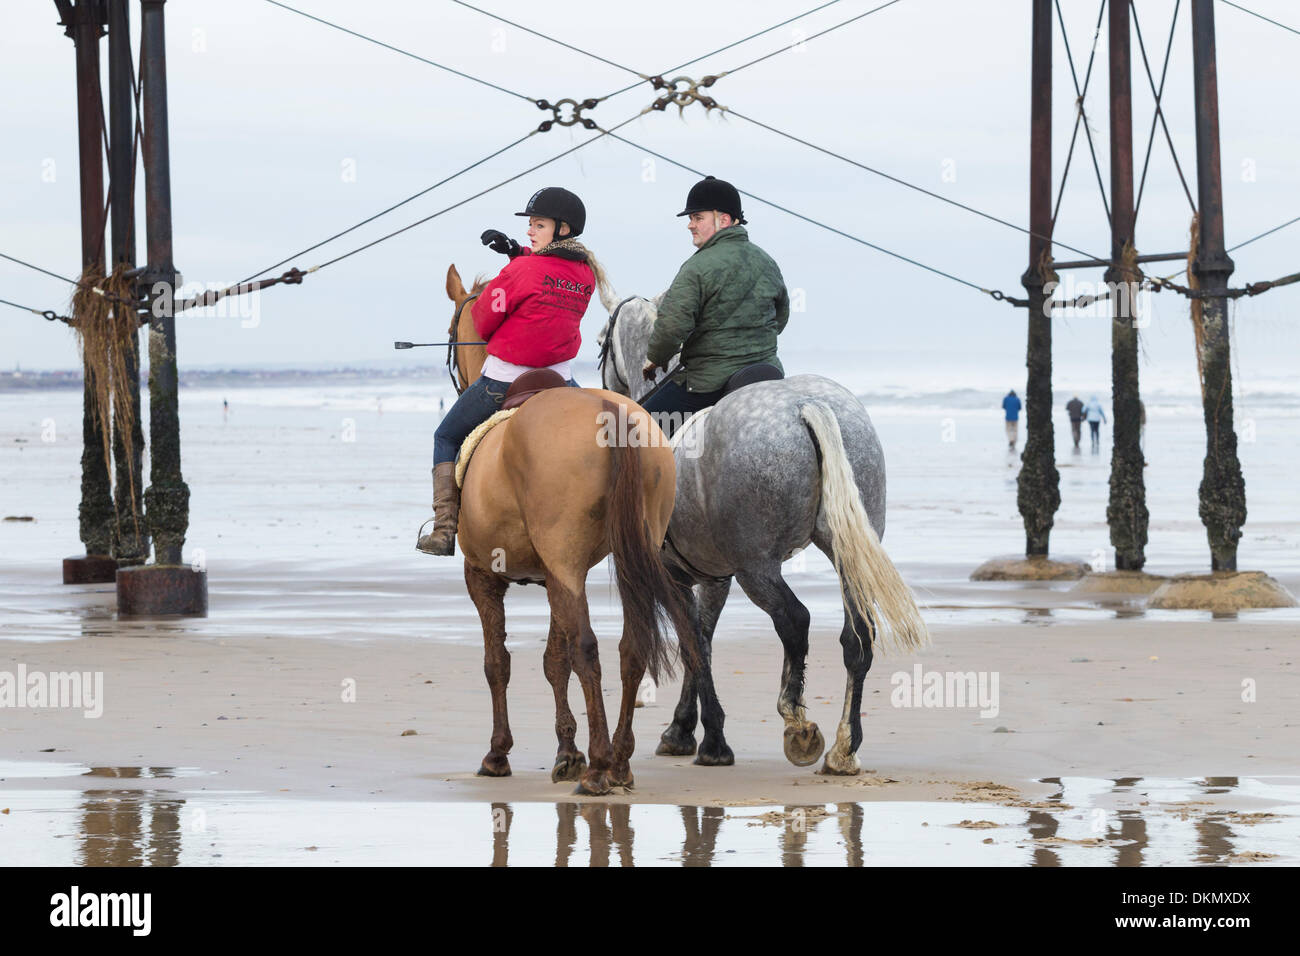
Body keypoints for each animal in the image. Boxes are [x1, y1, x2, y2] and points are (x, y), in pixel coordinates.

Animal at [442, 264, 695, 796]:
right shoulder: (553, 576)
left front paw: (500, 753)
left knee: (589, 649)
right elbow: (552, 661)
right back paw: (618, 760)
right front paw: (566, 752)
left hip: (564, 564)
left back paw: (600, 767)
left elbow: (499, 662)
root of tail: (613, 412)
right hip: (616, 558)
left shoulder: (484, 575)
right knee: (630, 647)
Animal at [595, 286, 928, 775]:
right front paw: (685, 728)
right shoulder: (713, 577)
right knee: (857, 637)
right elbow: (704, 638)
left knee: (795, 621)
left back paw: (797, 723)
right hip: (843, 554)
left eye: (601, 339)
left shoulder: (679, 575)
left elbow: (694, 643)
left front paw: (711, 739)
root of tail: (805, 404)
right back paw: (844, 747)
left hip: (757, 568)